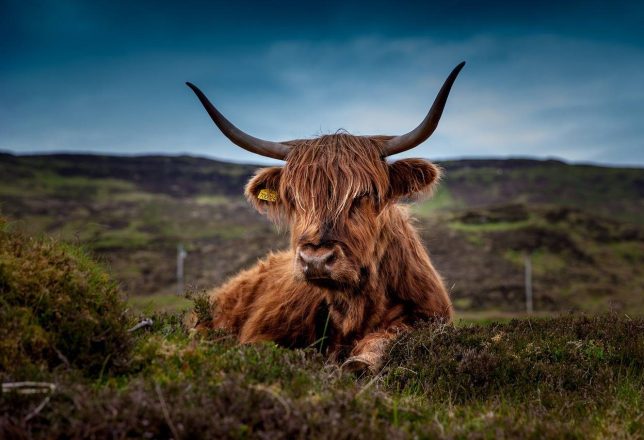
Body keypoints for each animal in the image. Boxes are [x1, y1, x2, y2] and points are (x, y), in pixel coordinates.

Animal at [186, 62, 465, 371]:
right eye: (294, 198)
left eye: (363, 195)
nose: (316, 259)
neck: (354, 307)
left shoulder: (428, 317)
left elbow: (389, 337)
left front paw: (360, 361)